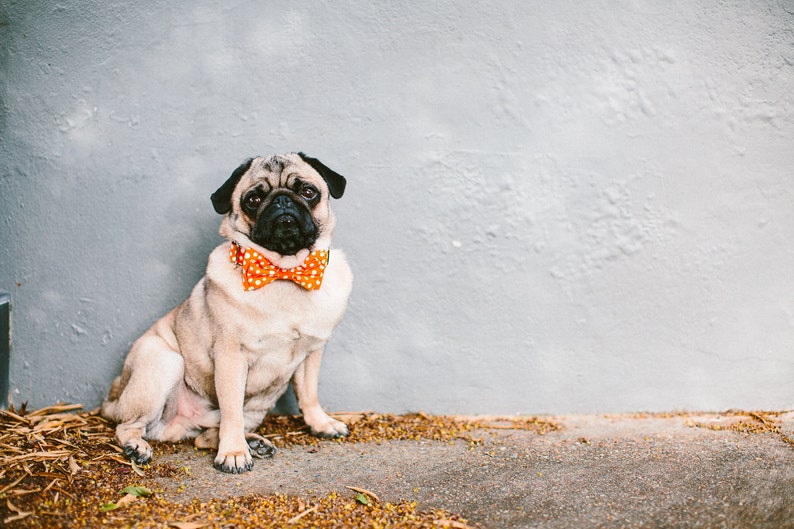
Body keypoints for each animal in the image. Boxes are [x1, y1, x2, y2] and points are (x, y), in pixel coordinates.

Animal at [101, 151, 352, 472]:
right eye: (253, 200)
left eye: (308, 192)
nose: (282, 200)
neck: (283, 272)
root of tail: (113, 396)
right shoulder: (231, 357)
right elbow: (232, 410)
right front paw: (233, 453)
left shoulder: (312, 353)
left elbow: (309, 394)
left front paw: (320, 423)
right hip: (163, 363)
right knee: (131, 426)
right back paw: (136, 447)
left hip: (257, 406)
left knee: (203, 437)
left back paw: (254, 442)